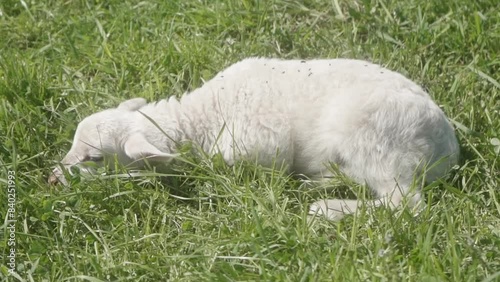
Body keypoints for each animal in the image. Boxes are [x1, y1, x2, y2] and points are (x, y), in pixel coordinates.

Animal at [48, 57, 458, 220]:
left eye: (94, 159)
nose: (52, 179)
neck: (201, 118)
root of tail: (448, 150)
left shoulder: (261, 146)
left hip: (376, 140)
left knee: (405, 204)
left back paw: (325, 209)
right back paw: (318, 183)